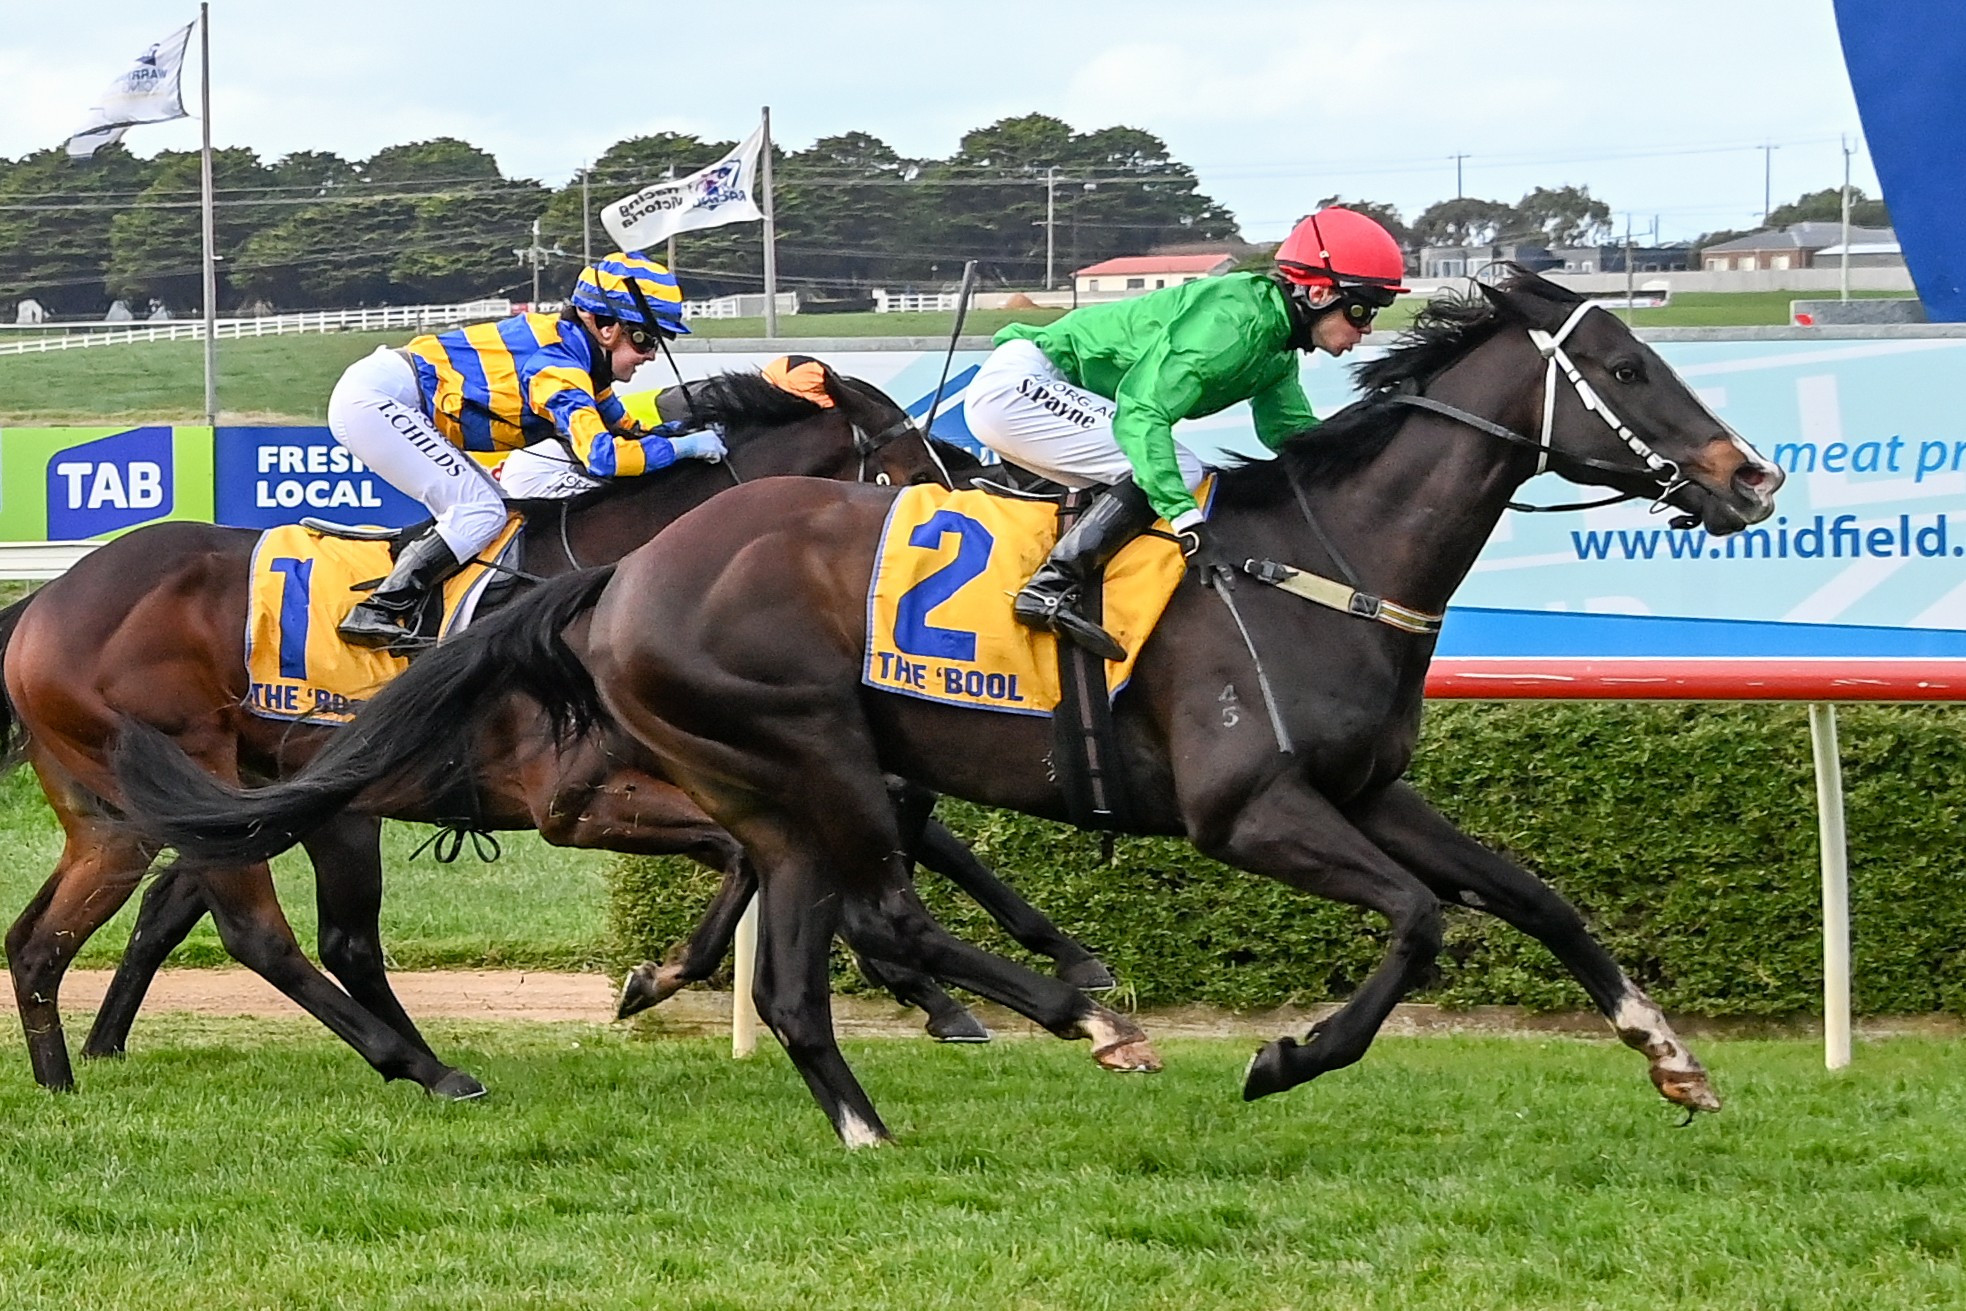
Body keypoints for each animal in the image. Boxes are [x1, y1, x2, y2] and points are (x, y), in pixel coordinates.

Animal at [3, 369, 1108, 1100]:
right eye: (920, 471)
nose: (973, 571)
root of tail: (49, 600)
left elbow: (839, 845)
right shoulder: (579, 799)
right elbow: (760, 858)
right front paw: (658, 978)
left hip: (155, 807)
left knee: (75, 931)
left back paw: (69, 1074)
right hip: (208, 770)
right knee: (260, 934)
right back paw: (421, 1066)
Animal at [115, 271, 1792, 1140]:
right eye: (1632, 365)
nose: (1751, 476)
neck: (1322, 564)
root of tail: (625, 577)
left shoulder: (1370, 789)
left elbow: (1536, 894)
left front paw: (1668, 1052)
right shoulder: (1252, 811)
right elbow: (1420, 922)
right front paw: (1281, 1051)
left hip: (785, 774)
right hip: (800, 757)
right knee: (867, 900)